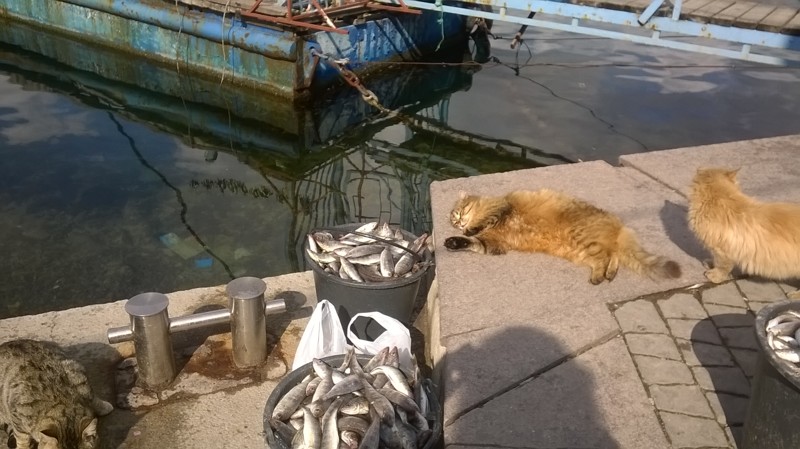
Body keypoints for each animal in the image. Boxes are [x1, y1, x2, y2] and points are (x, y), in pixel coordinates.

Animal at [444, 189, 680, 284]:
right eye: (454, 219)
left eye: (459, 212)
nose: (458, 222)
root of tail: (619, 226)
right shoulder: (492, 243)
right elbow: (473, 243)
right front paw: (455, 241)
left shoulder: (499, 208)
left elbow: (482, 224)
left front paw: (469, 229)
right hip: (581, 251)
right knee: (612, 256)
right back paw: (608, 274)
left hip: (583, 240)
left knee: (607, 255)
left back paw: (600, 276)